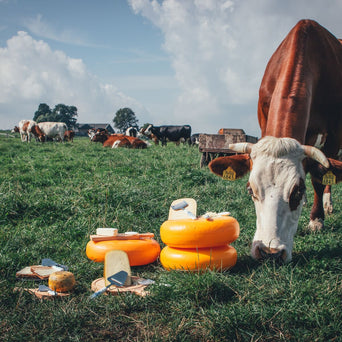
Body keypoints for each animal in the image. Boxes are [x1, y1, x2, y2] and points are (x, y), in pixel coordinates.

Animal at [208, 20, 342, 264]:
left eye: (296, 191)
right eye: (250, 190)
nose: (270, 252)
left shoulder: (335, 133)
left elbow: (320, 178)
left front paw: (316, 219)